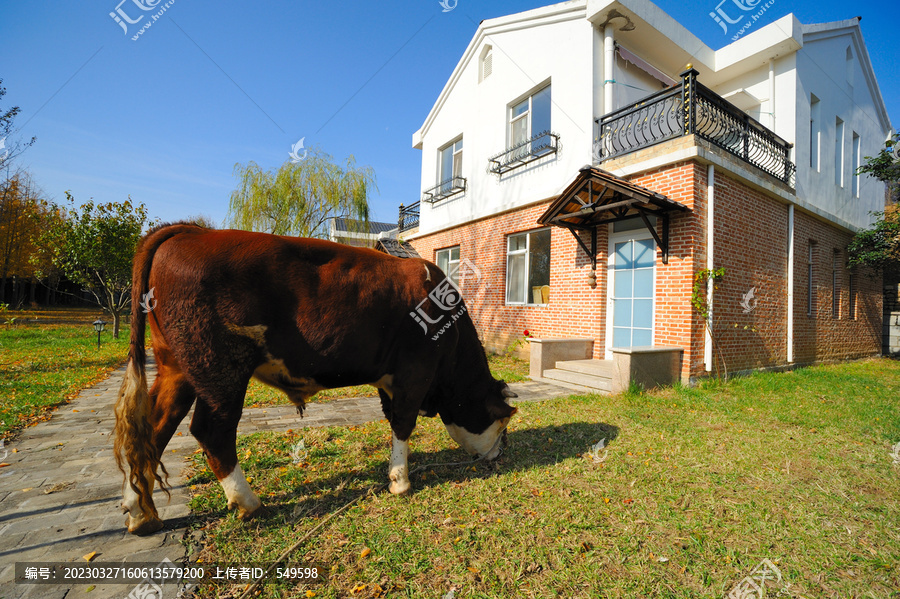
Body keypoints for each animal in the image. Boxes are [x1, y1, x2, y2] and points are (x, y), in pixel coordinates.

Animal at [116, 224, 516, 536]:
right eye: (503, 422)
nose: (498, 455)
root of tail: (192, 231)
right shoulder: (415, 371)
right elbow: (404, 424)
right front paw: (401, 482)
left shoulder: (390, 380)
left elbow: (392, 420)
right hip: (219, 369)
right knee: (211, 430)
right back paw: (248, 502)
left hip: (175, 368)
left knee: (154, 428)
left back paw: (139, 512)